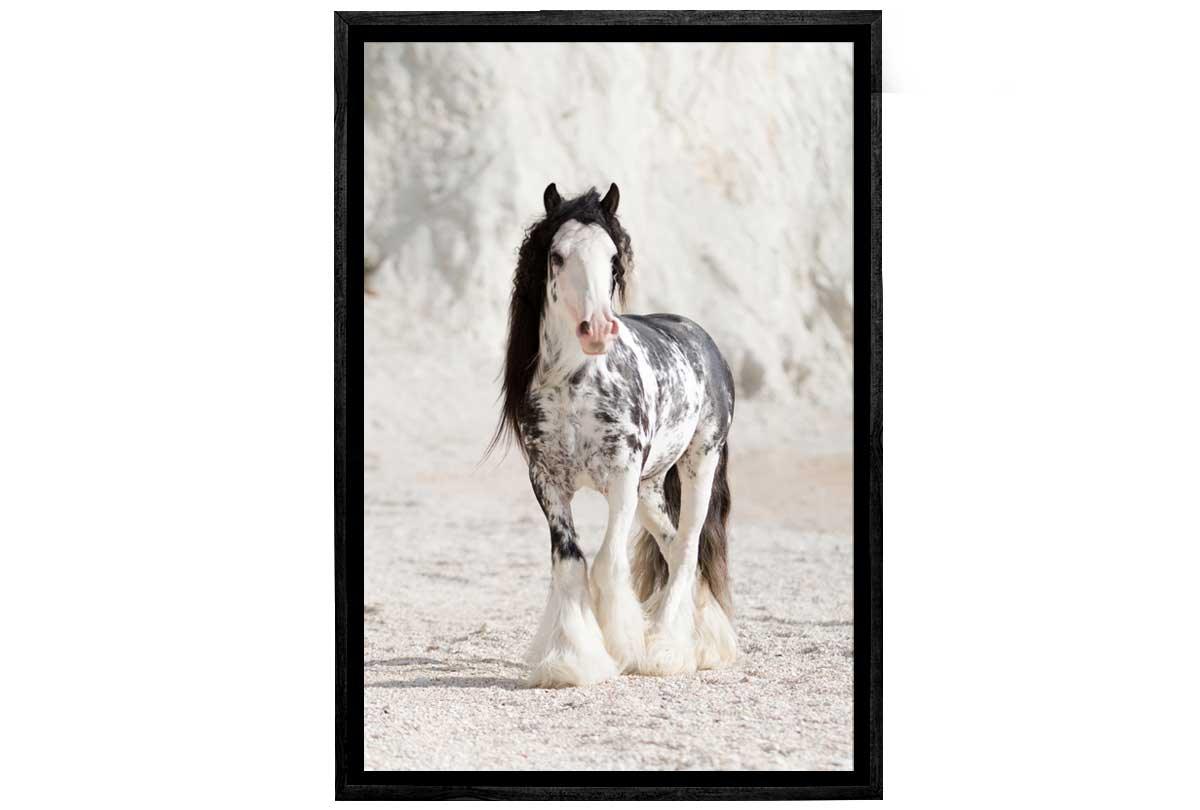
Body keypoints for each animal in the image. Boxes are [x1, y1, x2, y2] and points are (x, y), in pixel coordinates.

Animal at [489, 182, 738, 688]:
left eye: (613, 259)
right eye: (557, 256)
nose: (598, 329)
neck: (577, 384)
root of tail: (703, 340)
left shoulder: (621, 479)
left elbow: (607, 563)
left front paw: (622, 647)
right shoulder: (547, 482)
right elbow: (570, 562)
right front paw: (572, 661)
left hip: (699, 464)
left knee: (687, 549)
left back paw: (667, 651)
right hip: (650, 489)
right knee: (672, 548)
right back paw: (701, 642)